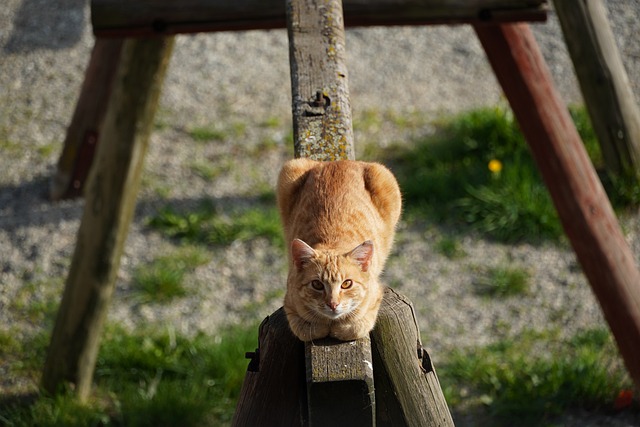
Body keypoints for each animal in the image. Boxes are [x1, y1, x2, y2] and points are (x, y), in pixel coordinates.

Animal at [276, 159, 400, 342]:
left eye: (347, 284)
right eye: (317, 285)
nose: (333, 304)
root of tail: (338, 161)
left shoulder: (375, 296)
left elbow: (354, 327)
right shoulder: (290, 305)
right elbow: (309, 328)